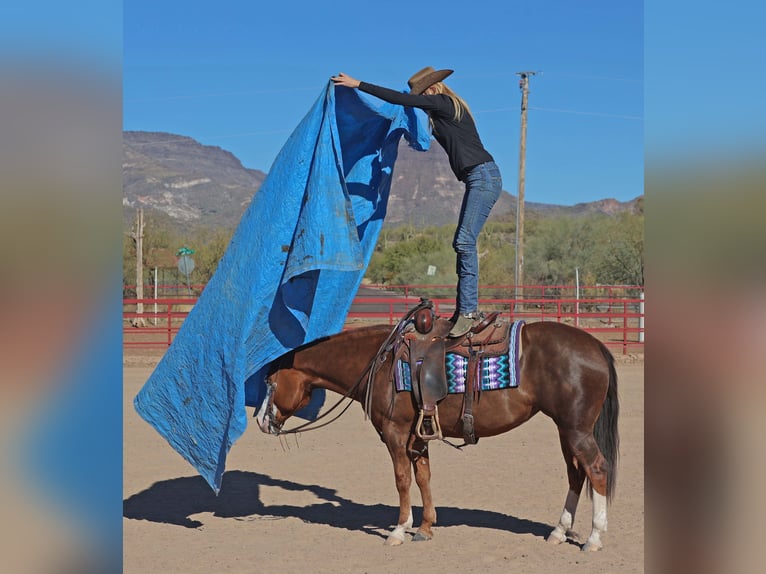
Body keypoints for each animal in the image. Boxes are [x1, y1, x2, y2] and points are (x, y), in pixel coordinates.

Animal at [255, 318, 620, 552]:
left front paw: (399, 530)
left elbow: (402, 479)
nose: (260, 421)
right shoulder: (417, 436)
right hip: (566, 429)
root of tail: (596, 346)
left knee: (597, 470)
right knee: (576, 475)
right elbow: (423, 477)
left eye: (270, 382)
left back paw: (594, 538)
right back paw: (558, 531)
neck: (379, 362)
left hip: (576, 430)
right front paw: (425, 527)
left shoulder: (395, 432)